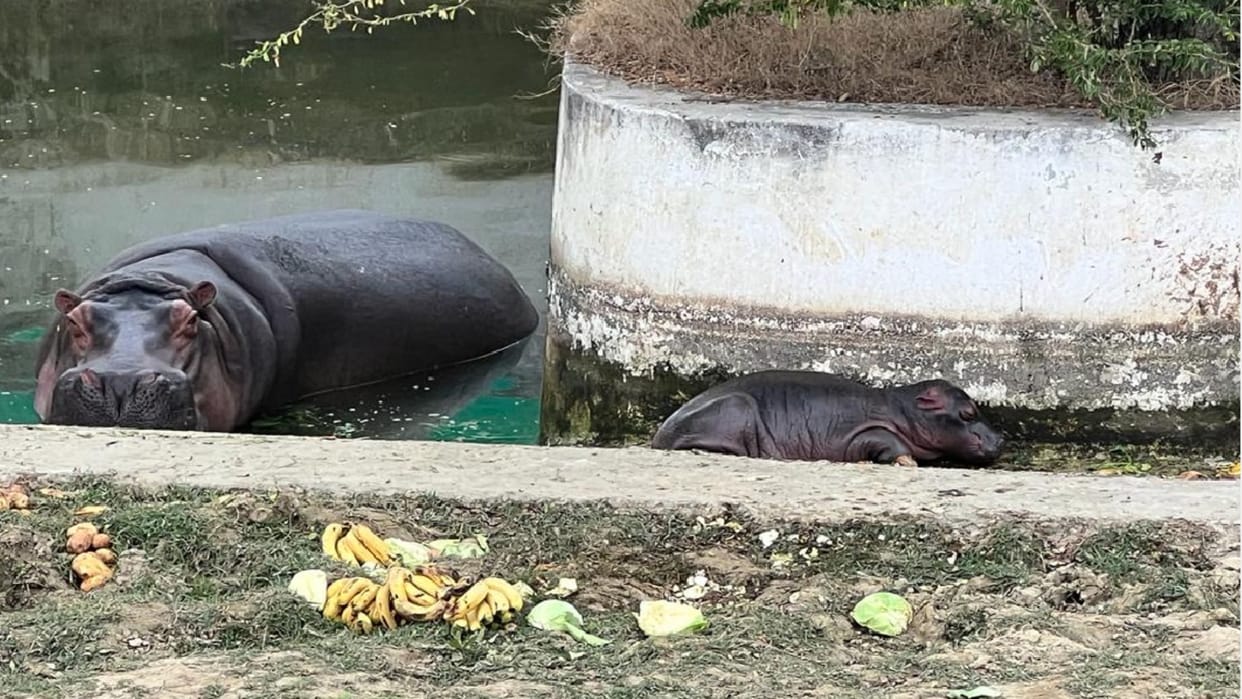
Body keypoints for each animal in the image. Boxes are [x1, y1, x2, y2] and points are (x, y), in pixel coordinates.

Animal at [650, 370, 1004, 467]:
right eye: (968, 412)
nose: (1001, 438)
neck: (904, 410)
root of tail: (659, 436)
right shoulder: (861, 432)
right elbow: (884, 440)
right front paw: (907, 462)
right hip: (738, 408)